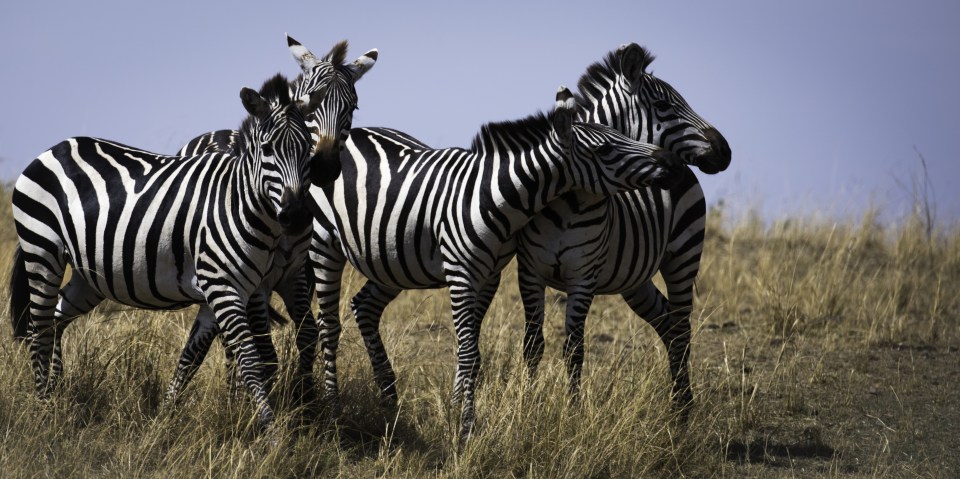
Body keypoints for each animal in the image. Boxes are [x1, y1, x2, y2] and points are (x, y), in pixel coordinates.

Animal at [8, 72, 334, 432]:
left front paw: (165, 419)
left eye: (308, 151)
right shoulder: (225, 287)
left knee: (55, 320)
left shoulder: (228, 290)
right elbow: (251, 359)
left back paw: (57, 391)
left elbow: (192, 357)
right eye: (267, 150)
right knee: (38, 327)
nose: (297, 217)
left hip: (89, 275)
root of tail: (55, 148)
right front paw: (270, 430)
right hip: (42, 248)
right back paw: (44, 408)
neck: (238, 202)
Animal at [174, 35, 376, 400]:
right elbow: (261, 347)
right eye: (312, 101)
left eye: (352, 108)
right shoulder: (256, 279)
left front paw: (307, 399)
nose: (324, 165)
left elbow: (308, 333)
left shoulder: (298, 274)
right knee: (228, 338)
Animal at [308, 85, 684, 438]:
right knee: (328, 324)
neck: (494, 195)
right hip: (324, 243)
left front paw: (458, 412)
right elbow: (468, 352)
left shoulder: (490, 275)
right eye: (605, 149)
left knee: (364, 306)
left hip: (392, 259)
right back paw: (333, 407)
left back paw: (389, 400)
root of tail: (348, 134)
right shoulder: (461, 274)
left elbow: (472, 353)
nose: (672, 162)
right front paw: (466, 426)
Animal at [516, 44, 728, 408]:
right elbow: (533, 345)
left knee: (681, 328)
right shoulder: (529, 271)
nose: (725, 152)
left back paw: (681, 408)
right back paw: (679, 401)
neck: (569, 201)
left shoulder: (582, 278)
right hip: (635, 279)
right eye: (664, 106)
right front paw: (527, 404)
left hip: (683, 257)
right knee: (667, 323)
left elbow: (574, 349)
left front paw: (572, 411)